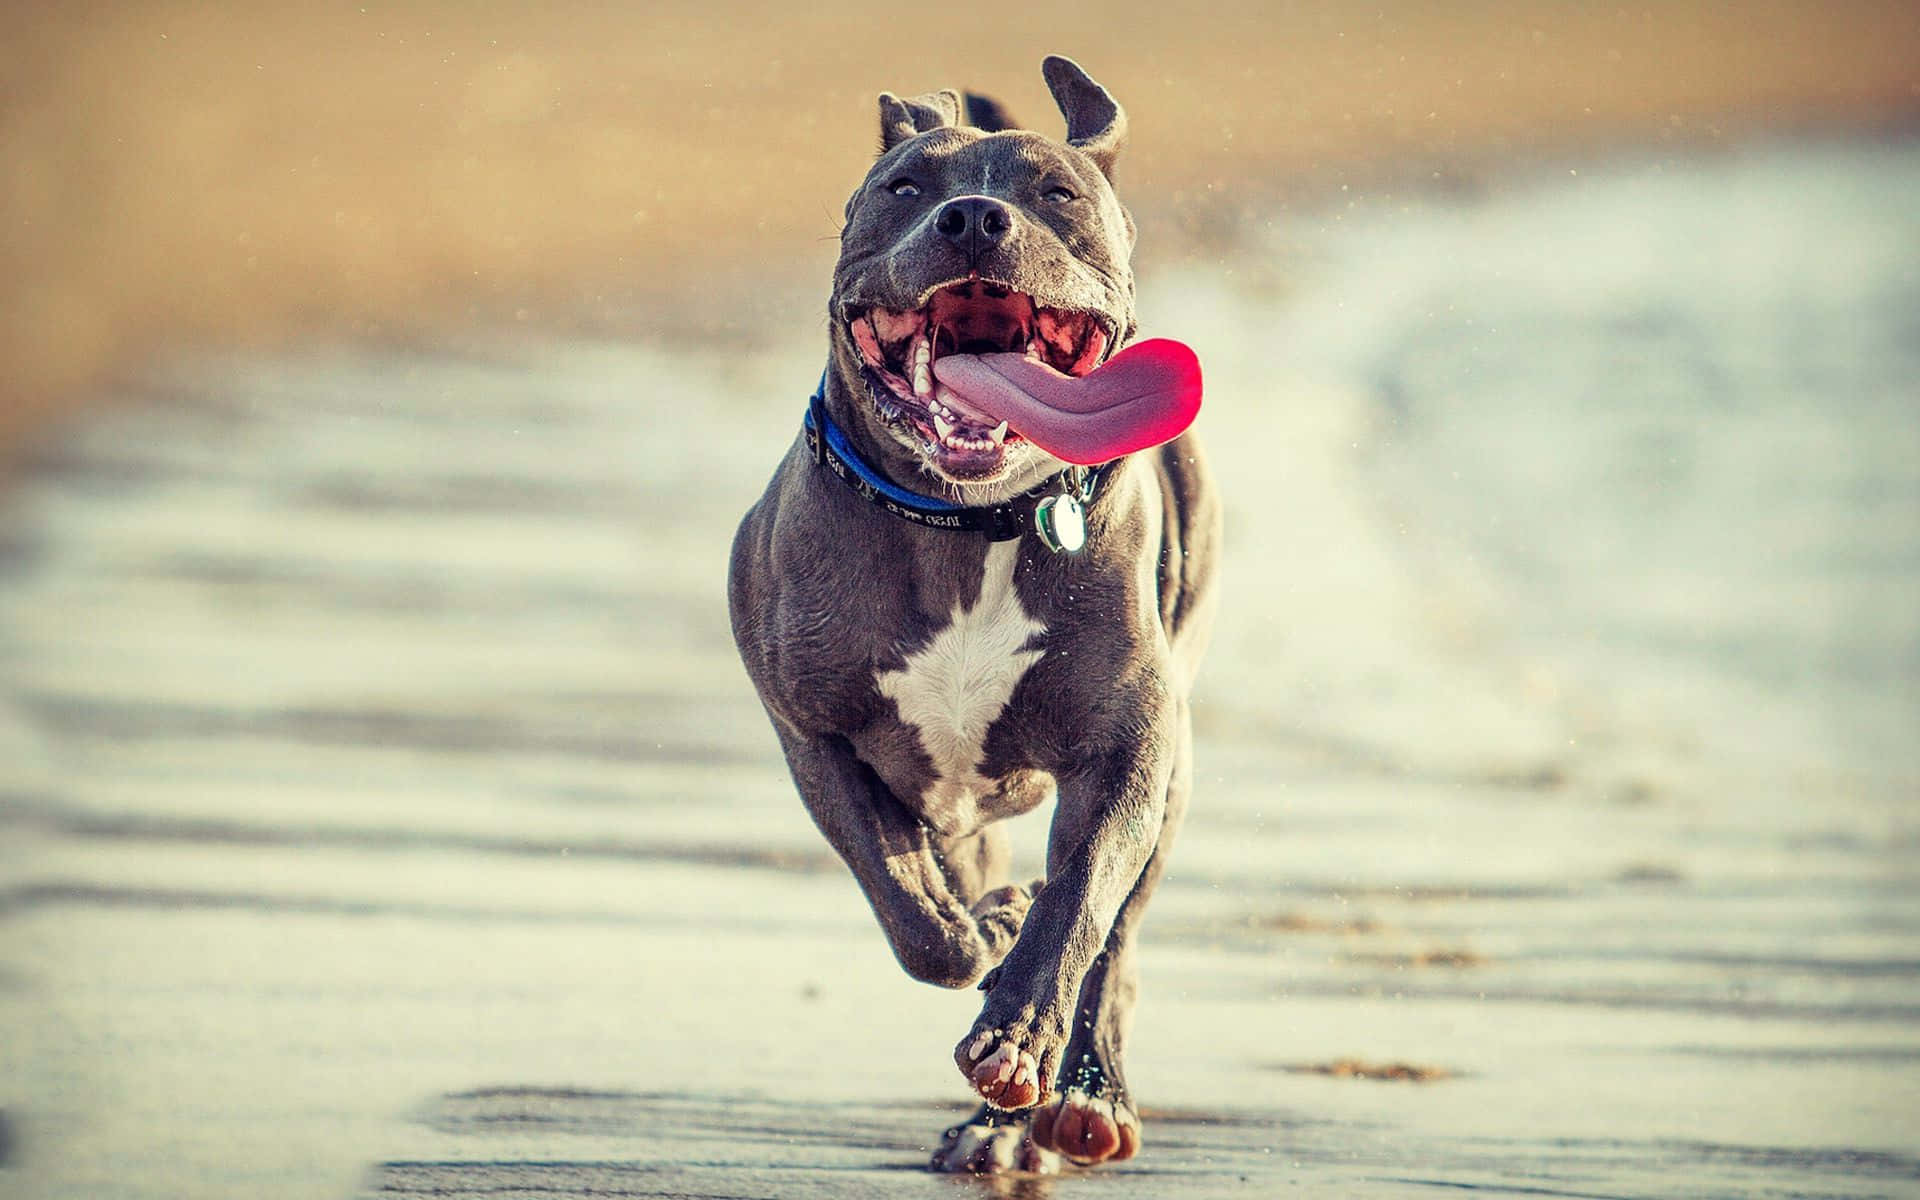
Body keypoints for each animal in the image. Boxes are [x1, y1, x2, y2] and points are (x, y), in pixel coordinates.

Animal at [725, 56, 1221, 1167]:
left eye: (1058, 193)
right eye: (906, 186)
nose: (975, 218)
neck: (966, 523)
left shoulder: (1128, 750)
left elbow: (1079, 905)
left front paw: (1019, 1028)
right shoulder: (815, 735)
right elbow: (909, 905)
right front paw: (984, 932)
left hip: (1173, 764)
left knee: (1117, 940)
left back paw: (1076, 1098)